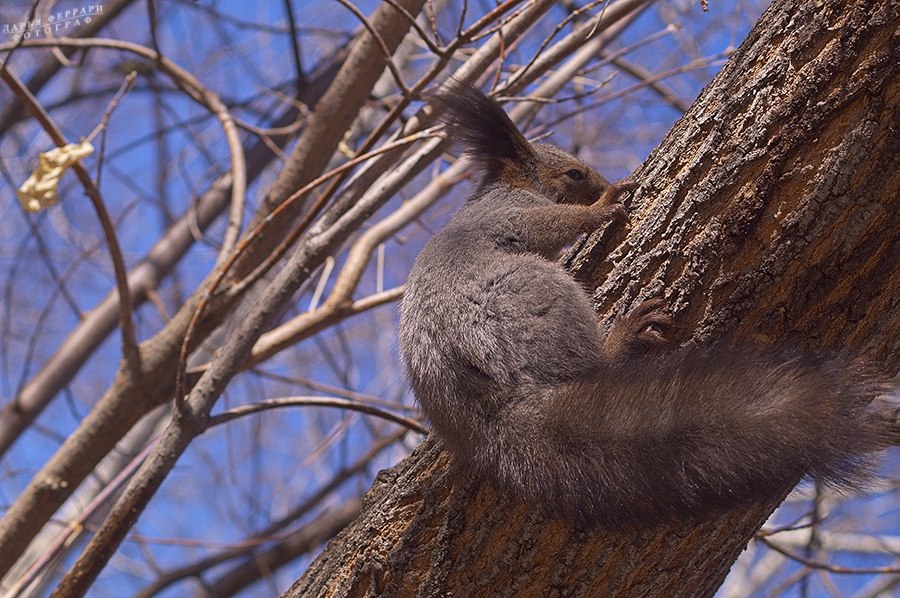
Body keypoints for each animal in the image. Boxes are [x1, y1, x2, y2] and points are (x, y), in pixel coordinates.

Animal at [398, 79, 888, 528]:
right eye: (574, 174)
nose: (602, 182)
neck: (506, 186)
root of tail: (490, 414)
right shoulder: (514, 213)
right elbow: (556, 223)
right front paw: (602, 207)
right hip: (539, 296)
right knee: (592, 362)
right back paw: (622, 337)